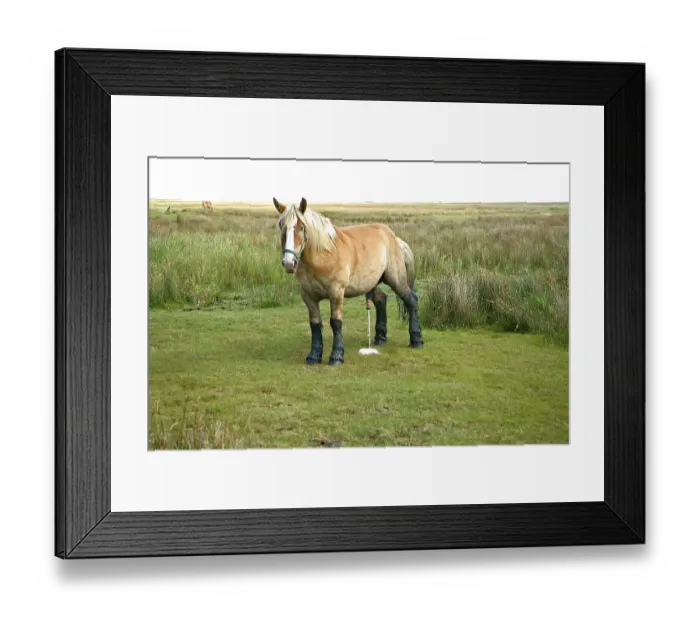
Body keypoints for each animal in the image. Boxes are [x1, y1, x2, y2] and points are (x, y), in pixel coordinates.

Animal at [273, 197, 424, 365]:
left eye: (301, 227)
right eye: (281, 225)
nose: (289, 263)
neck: (323, 256)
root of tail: (394, 238)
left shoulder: (336, 292)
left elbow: (336, 322)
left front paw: (336, 356)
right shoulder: (308, 296)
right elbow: (315, 324)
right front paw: (314, 355)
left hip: (396, 280)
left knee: (411, 300)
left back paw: (416, 339)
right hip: (372, 282)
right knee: (381, 300)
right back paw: (380, 338)